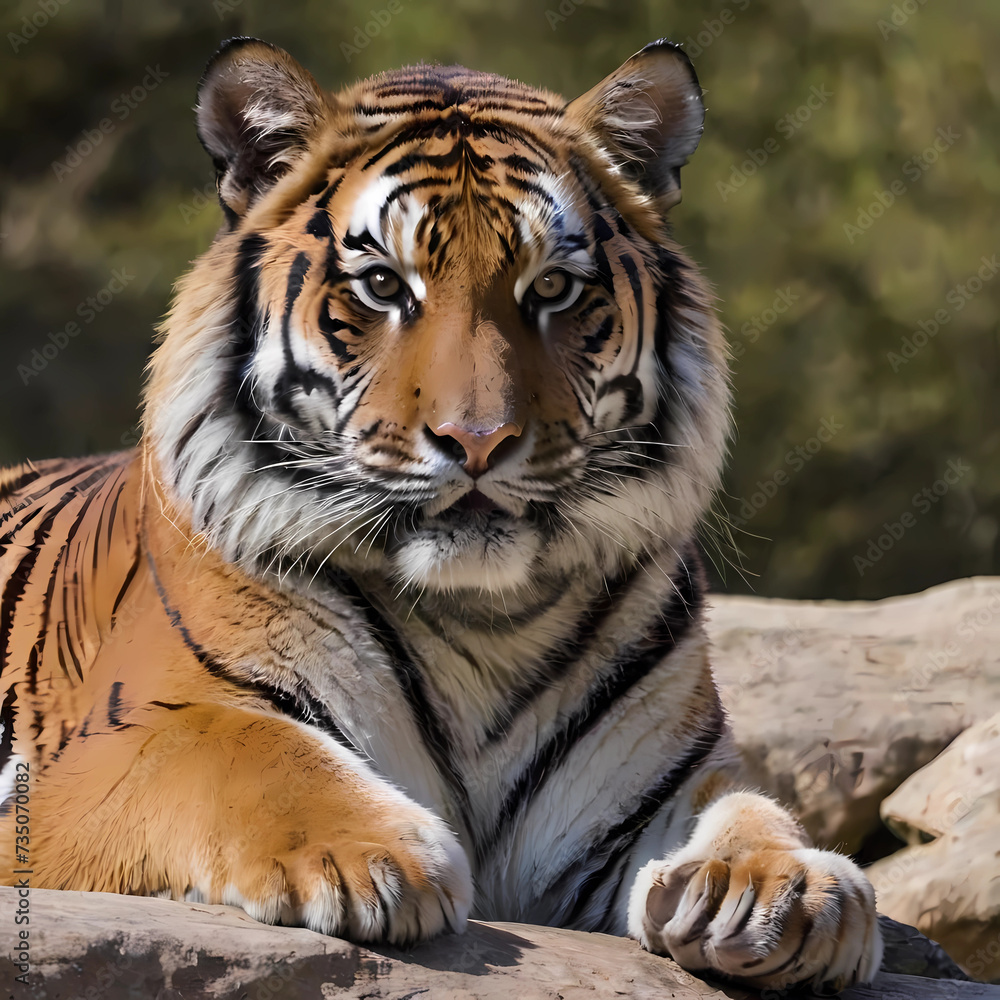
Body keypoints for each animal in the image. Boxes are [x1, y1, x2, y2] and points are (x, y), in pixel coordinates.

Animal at [0, 37, 883, 991]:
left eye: (552, 287)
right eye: (385, 286)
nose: (479, 440)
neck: (486, 618)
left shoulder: (656, 785)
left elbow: (750, 805)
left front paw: (784, 890)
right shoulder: (91, 764)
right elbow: (228, 742)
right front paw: (363, 859)